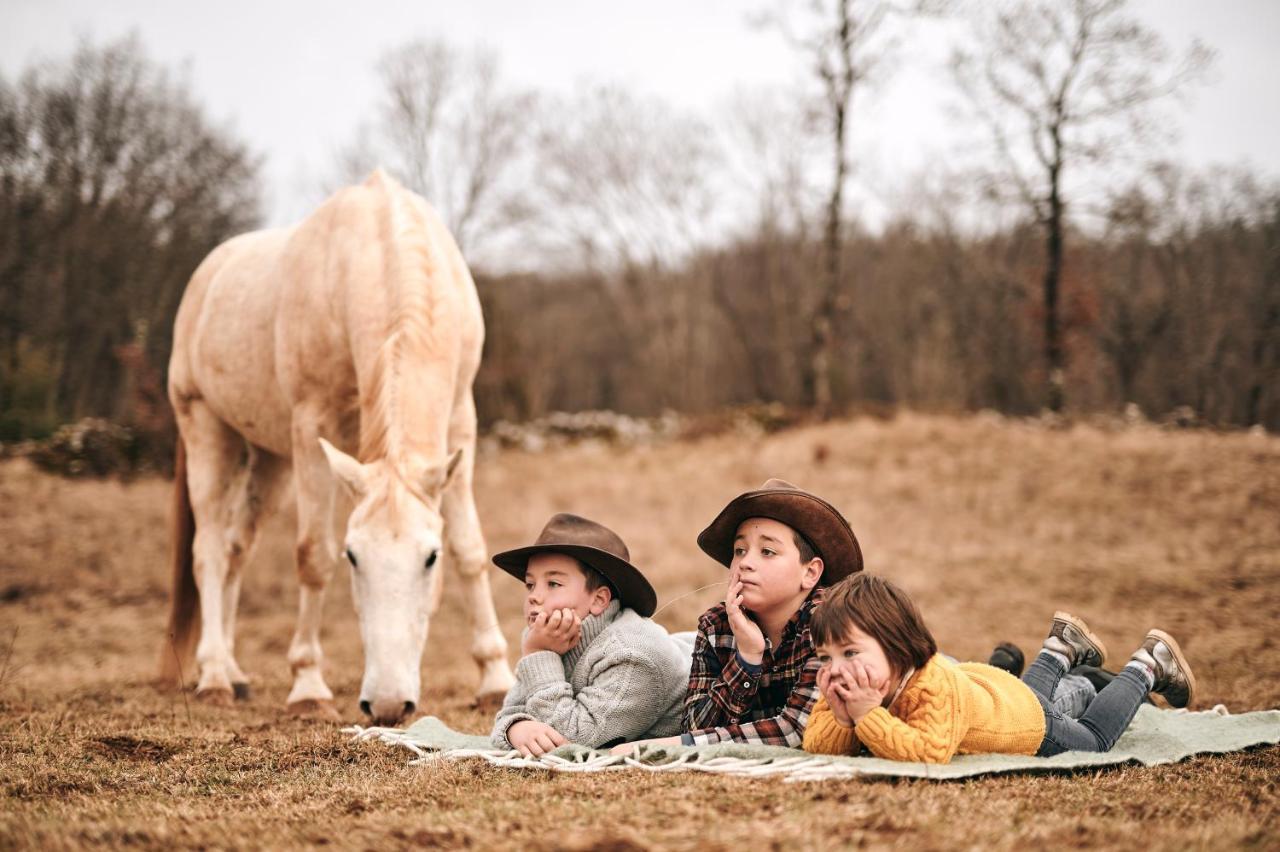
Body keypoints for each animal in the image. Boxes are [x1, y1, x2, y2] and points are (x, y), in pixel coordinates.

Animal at [161, 168, 514, 721]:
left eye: (429, 557)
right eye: (353, 557)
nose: (389, 705)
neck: (377, 251)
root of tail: (206, 276)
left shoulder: (460, 422)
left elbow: (472, 550)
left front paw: (495, 679)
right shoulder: (312, 427)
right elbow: (312, 556)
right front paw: (308, 686)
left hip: (271, 461)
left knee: (238, 547)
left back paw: (236, 674)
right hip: (207, 431)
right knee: (210, 551)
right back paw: (215, 675)